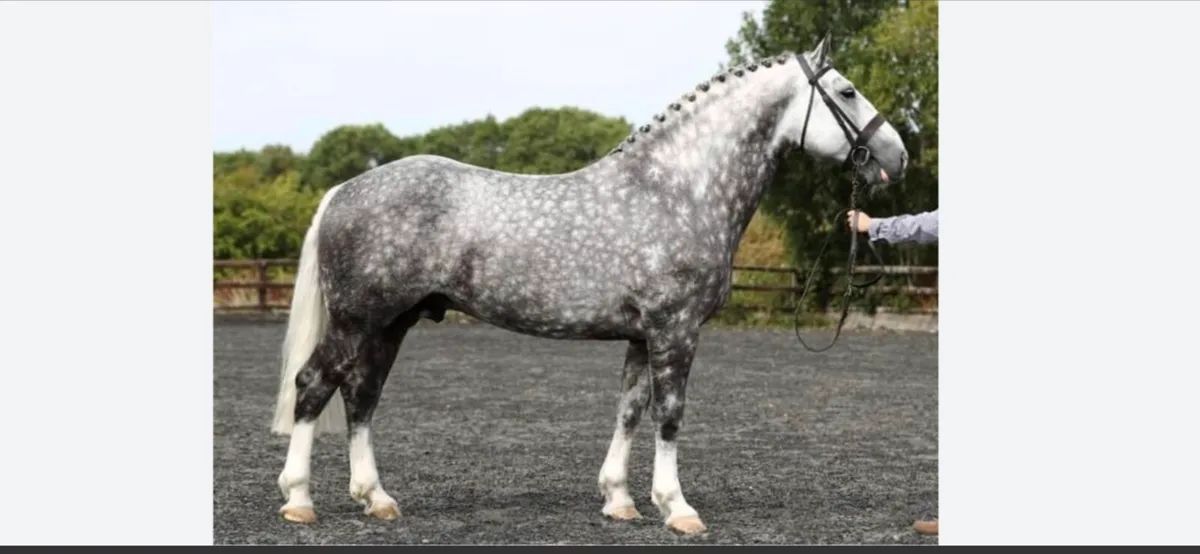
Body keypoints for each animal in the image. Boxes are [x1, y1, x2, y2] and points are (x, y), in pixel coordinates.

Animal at [268, 34, 908, 535]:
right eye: (847, 92)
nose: (898, 155)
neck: (678, 189)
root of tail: (344, 190)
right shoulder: (675, 329)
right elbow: (669, 413)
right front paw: (677, 507)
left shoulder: (641, 335)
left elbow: (629, 410)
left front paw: (620, 500)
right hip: (356, 321)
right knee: (314, 386)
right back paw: (299, 499)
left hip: (390, 324)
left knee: (361, 397)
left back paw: (375, 499)